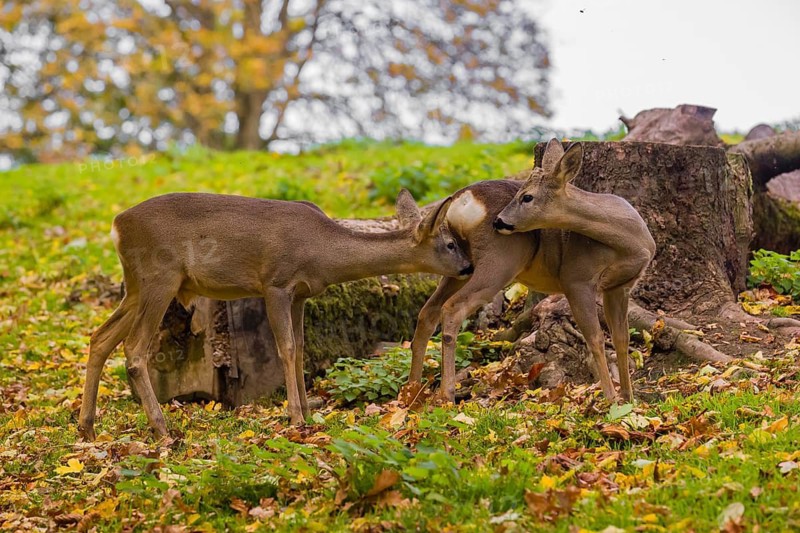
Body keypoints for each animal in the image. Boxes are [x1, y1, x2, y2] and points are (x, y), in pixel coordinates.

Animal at [78, 190, 472, 440]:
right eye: (451, 243)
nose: (469, 267)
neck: (323, 251)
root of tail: (116, 226)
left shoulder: (300, 294)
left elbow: (300, 349)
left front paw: (308, 412)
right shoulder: (275, 283)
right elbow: (286, 348)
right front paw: (295, 415)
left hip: (135, 286)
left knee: (99, 338)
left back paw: (87, 427)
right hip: (160, 276)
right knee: (133, 348)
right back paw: (162, 430)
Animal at [408, 139, 655, 403]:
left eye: (527, 196)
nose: (499, 221)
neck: (629, 243)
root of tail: (462, 202)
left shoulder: (620, 286)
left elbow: (621, 338)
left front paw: (630, 398)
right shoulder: (576, 278)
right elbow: (596, 338)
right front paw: (611, 399)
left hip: (459, 264)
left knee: (428, 312)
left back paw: (411, 393)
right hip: (500, 262)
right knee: (452, 308)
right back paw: (446, 395)